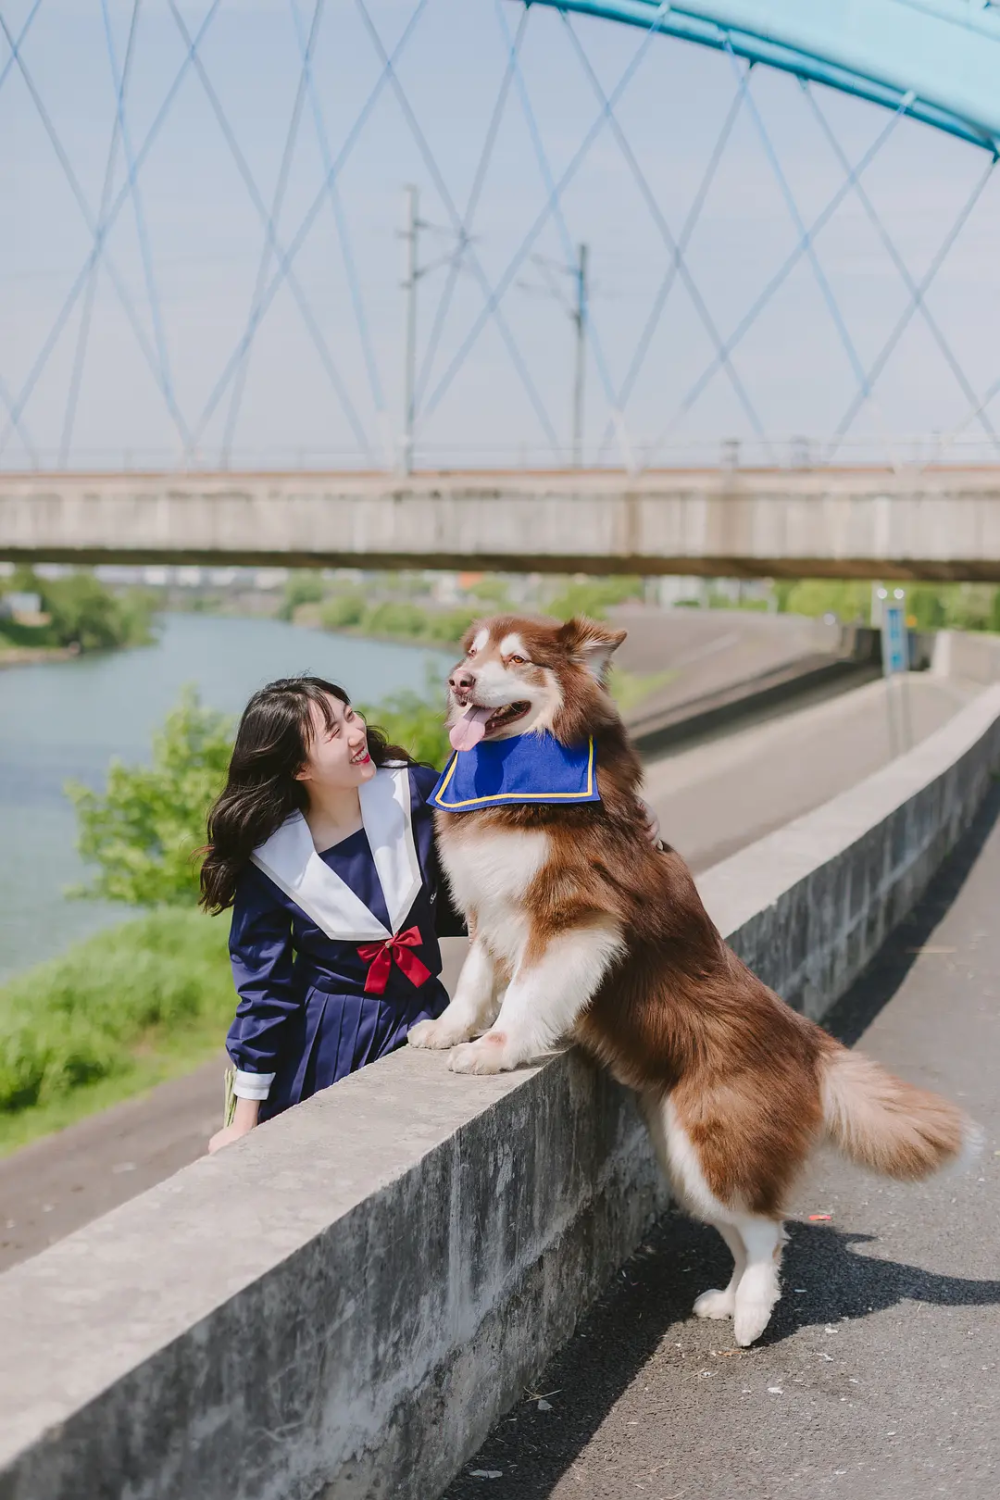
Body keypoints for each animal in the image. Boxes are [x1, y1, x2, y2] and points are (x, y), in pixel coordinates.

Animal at [407, 612, 977, 1350]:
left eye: (517, 660)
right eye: (471, 652)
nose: (458, 681)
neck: (522, 780)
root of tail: (810, 1042)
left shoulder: (571, 918)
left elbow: (526, 994)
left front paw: (494, 1050)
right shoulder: (489, 909)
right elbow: (476, 980)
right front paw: (449, 1031)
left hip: (715, 1139)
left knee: (768, 1229)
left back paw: (754, 1316)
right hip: (683, 1150)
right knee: (738, 1230)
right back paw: (728, 1302)